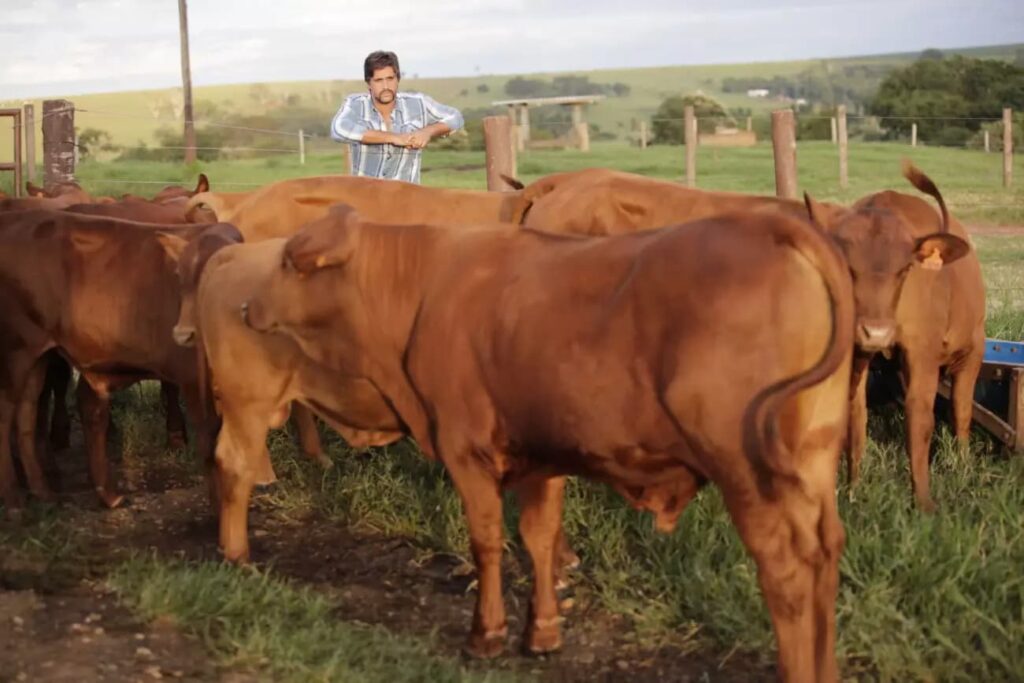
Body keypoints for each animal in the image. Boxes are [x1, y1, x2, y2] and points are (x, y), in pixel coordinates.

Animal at [245, 208, 856, 683]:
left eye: (288, 262)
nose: (248, 309)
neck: (423, 289)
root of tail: (766, 223)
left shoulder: (465, 449)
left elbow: (487, 541)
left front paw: (486, 633)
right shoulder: (544, 454)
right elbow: (538, 539)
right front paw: (541, 632)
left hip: (746, 470)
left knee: (785, 568)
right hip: (812, 461)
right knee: (825, 553)